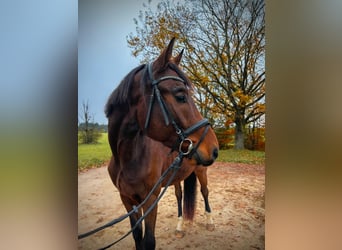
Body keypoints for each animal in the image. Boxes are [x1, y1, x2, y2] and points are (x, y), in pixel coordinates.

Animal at [104, 37, 219, 250]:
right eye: (180, 96)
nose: (214, 148)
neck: (128, 159)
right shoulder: (128, 201)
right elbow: (137, 237)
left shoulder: (150, 202)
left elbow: (149, 241)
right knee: (180, 195)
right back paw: (180, 226)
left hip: (201, 171)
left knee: (205, 192)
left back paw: (209, 221)